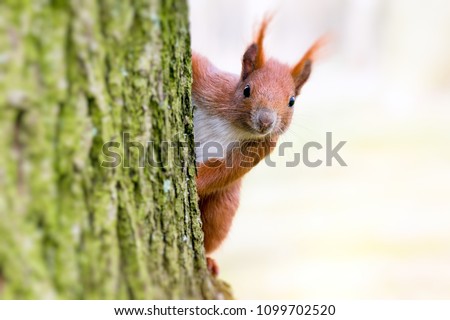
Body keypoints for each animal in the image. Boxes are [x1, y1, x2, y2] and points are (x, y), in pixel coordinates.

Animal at [190, 18, 320, 276]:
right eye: (247, 89)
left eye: (292, 101)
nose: (266, 121)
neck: (236, 125)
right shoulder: (210, 83)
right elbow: (194, 61)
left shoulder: (260, 148)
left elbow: (224, 171)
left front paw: (194, 181)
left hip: (223, 207)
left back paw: (208, 261)